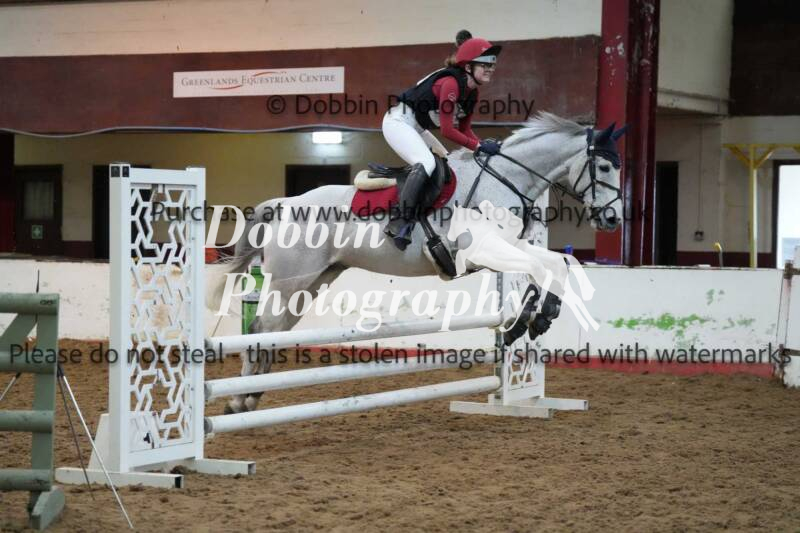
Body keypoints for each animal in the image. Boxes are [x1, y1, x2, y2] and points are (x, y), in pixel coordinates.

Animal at [211, 111, 626, 414]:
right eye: (605, 168)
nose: (613, 219)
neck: (506, 178)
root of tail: (285, 203)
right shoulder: (485, 249)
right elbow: (543, 268)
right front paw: (527, 322)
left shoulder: (509, 246)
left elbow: (557, 263)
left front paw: (537, 318)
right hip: (292, 280)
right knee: (261, 327)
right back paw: (239, 398)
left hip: (314, 280)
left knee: (273, 329)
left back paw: (252, 394)